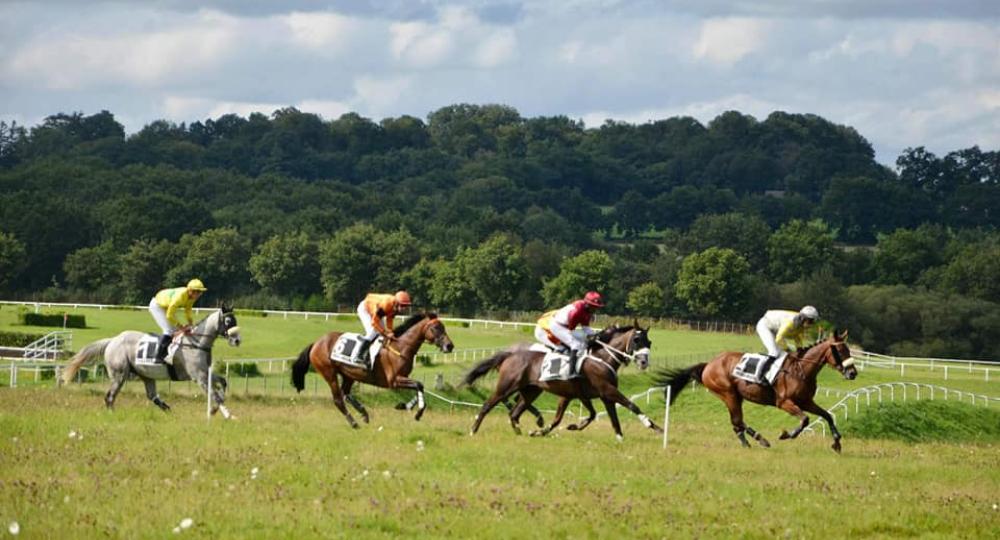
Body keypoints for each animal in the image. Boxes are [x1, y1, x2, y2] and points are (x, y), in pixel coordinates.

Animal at [59, 304, 241, 418]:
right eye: (228, 321)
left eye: (235, 321)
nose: (237, 341)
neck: (196, 343)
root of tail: (112, 340)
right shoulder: (198, 376)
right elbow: (214, 395)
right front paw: (222, 413)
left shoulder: (205, 372)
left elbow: (223, 383)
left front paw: (220, 411)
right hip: (119, 375)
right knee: (110, 396)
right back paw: (112, 414)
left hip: (145, 374)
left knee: (151, 395)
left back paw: (168, 410)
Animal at [292, 314, 456, 428]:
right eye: (436, 328)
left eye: (444, 327)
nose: (449, 346)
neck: (400, 347)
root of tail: (316, 343)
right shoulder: (393, 381)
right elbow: (418, 385)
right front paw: (418, 412)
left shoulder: (403, 377)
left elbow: (419, 386)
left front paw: (405, 406)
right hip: (329, 373)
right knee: (338, 399)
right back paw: (353, 422)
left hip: (349, 374)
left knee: (346, 393)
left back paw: (363, 413)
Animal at [462, 322, 664, 440]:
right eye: (636, 339)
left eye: (649, 342)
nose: (644, 362)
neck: (601, 358)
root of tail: (509, 354)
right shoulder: (606, 390)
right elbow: (631, 405)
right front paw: (653, 426)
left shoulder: (586, 395)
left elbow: (604, 417)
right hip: (507, 386)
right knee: (488, 405)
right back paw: (473, 430)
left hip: (531, 391)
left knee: (515, 413)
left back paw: (520, 432)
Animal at [656, 330, 860, 452]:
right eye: (840, 351)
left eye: (849, 350)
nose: (852, 373)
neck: (801, 370)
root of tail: (708, 364)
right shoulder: (784, 402)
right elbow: (805, 420)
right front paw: (788, 434)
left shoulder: (806, 401)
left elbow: (827, 415)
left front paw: (836, 442)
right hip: (728, 393)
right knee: (737, 421)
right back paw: (756, 441)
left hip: (736, 396)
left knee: (737, 422)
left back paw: (754, 441)